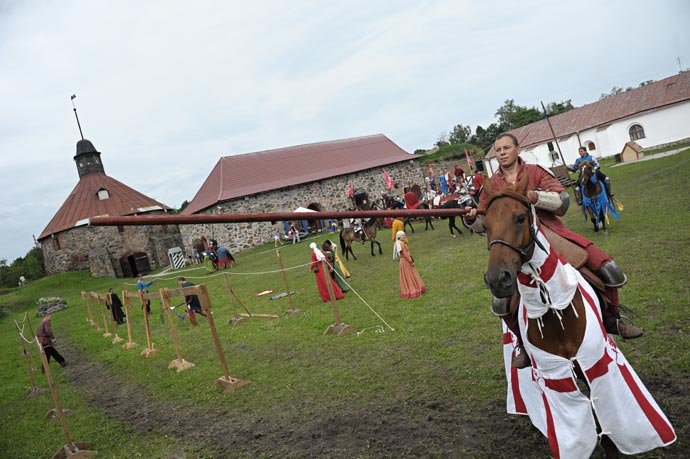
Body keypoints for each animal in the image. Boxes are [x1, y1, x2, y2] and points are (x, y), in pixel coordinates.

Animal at [478, 173, 672, 459]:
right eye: (486, 223)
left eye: (520, 217)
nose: (497, 280)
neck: (556, 312)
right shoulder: (555, 376)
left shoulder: (593, 364)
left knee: (610, 271)